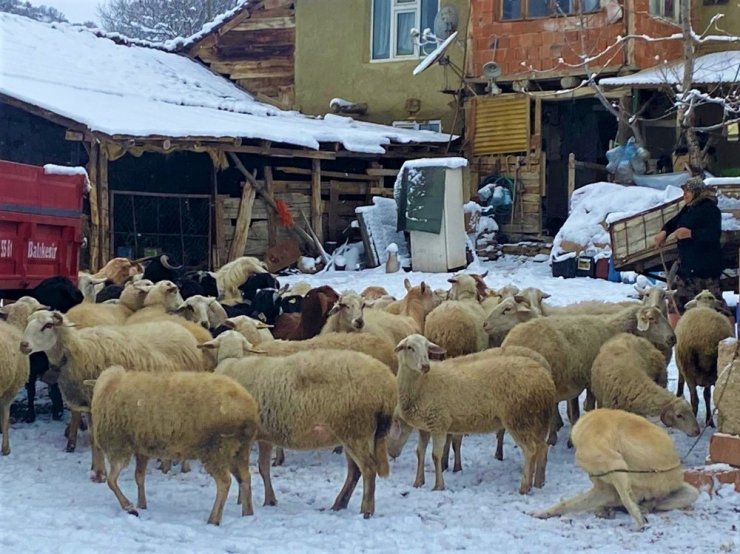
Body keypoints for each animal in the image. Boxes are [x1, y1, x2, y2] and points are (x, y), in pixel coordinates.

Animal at [89, 364, 258, 524]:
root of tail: (249, 407)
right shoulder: (141, 448)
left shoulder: (119, 446)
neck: (108, 387)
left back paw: (214, 519)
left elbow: (111, 481)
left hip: (217, 448)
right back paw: (248, 513)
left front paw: (129, 506)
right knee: (245, 478)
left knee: (224, 482)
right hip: (239, 449)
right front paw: (141, 504)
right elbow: (139, 476)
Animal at [198, 328, 398, 516]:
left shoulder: (245, 436)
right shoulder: (264, 436)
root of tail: (387, 385)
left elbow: (244, 471)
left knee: (368, 469)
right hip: (355, 431)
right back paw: (340, 503)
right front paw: (269, 500)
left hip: (355, 429)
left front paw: (243, 500)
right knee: (355, 471)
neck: (232, 362)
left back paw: (366, 510)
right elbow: (263, 468)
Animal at [394, 332, 556, 492]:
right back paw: (538, 483)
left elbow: (435, 455)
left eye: (427, 347)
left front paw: (438, 486)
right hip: (536, 419)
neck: (422, 383)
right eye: (409, 347)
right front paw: (418, 482)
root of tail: (545, 377)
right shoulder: (424, 427)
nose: (425, 366)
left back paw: (524, 487)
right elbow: (420, 453)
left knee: (530, 451)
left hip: (519, 418)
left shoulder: (439, 423)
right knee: (542, 448)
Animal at [502, 304, 676, 442]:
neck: (614, 329)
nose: (673, 338)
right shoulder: (592, 380)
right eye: (652, 319)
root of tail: (509, 342)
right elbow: (591, 405)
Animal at [532, 408, 700, 528]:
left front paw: (639, 520)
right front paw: (544, 512)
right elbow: (566, 503)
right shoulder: (604, 489)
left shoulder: (612, 461)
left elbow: (627, 499)